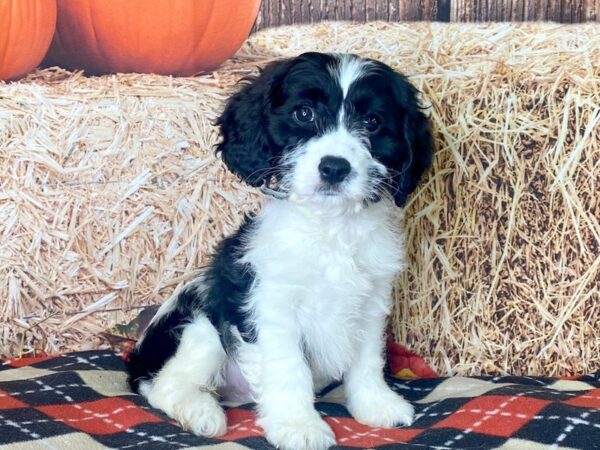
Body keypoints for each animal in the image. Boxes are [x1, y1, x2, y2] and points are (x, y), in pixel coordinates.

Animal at [127, 51, 432, 450]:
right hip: (197, 325)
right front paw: (299, 425)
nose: (334, 167)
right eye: (303, 113)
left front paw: (376, 404)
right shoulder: (272, 307)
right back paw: (203, 412)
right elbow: (289, 369)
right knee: (164, 385)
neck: (330, 228)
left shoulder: (370, 305)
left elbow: (367, 360)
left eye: (373, 121)